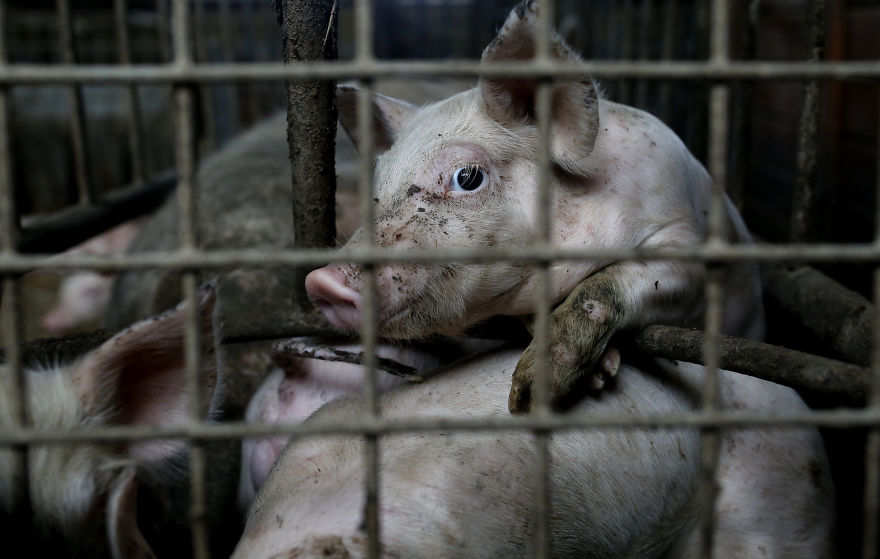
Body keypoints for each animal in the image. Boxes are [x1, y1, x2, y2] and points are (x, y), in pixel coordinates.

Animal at [304, 0, 765, 412]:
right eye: (378, 183)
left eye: (466, 177)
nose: (322, 281)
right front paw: (599, 375)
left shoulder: (688, 243)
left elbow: (605, 287)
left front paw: (530, 397)